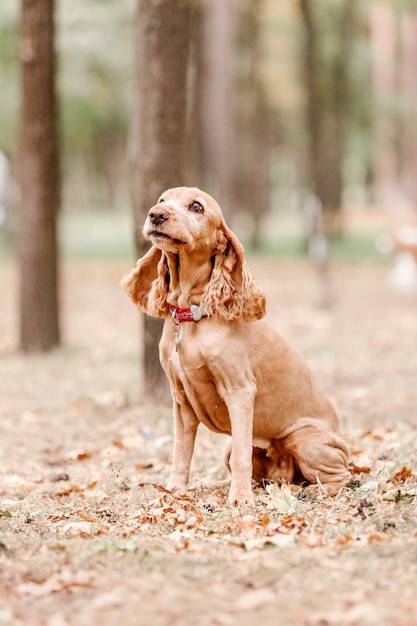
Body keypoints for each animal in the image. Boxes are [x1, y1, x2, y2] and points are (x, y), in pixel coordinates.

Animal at [122, 185, 350, 502]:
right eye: (162, 200)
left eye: (196, 206)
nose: (156, 215)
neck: (192, 315)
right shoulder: (180, 400)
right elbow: (181, 453)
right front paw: (174, 491)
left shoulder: (239, 391)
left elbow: (242, 455)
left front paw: (240, 498)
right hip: (236, 450)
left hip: (304, 439)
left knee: (341, 478)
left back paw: (306, 492)